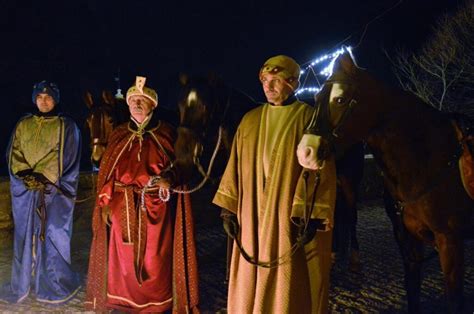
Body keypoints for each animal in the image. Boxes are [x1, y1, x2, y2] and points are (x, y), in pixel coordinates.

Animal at [298, 51, 474, 312]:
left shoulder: (450, 240)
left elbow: (453, 300)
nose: (305, 152)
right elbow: (412, 291)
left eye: (340, 99)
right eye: (317, 98)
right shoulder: (407, 241)